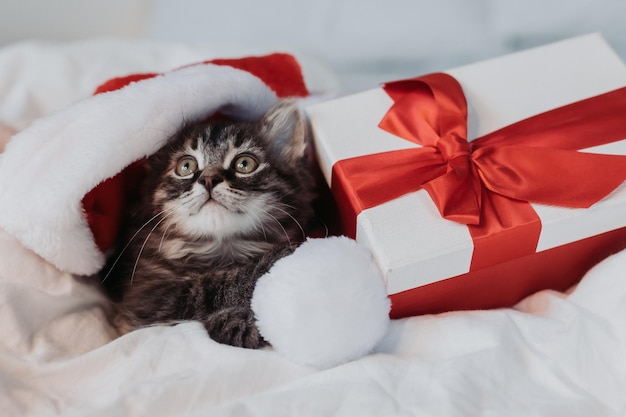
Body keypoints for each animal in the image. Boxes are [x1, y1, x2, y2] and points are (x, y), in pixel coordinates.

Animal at [104, 100, 316, 348]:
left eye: (244, 163)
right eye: (186, 166)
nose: (208, 179)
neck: (222, 249)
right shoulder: (145, 296)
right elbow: (208, 286)